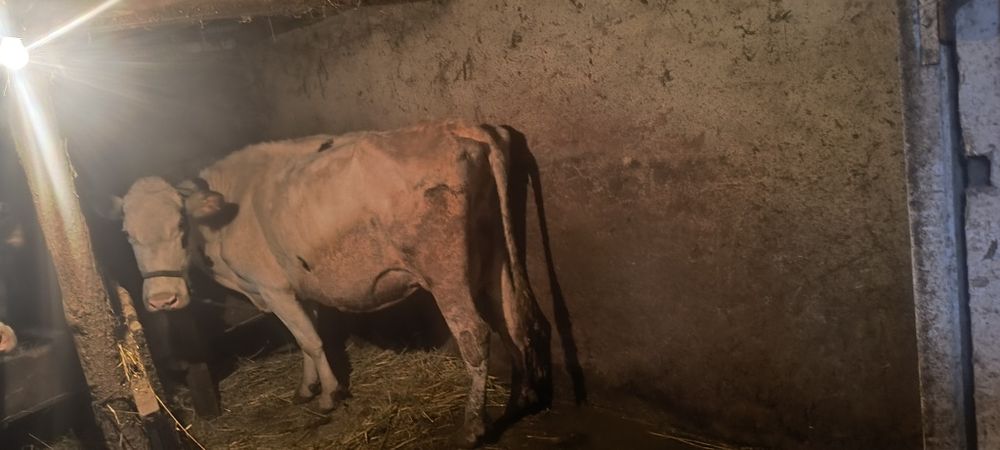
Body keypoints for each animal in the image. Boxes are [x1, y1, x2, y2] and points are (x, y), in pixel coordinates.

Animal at [115, 121, 551, 447]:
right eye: (127, 235)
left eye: (180, 226)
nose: (163, 300)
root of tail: (460, 125)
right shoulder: (299, 287)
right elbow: (308, 337)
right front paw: (307, 387)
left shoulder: (273, 288)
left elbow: (309, 340)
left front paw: (328, 395)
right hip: (495, 255)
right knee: (513, 319)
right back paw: (524, 395)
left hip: (444, 271)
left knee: (475, 334)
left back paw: (473, 425)